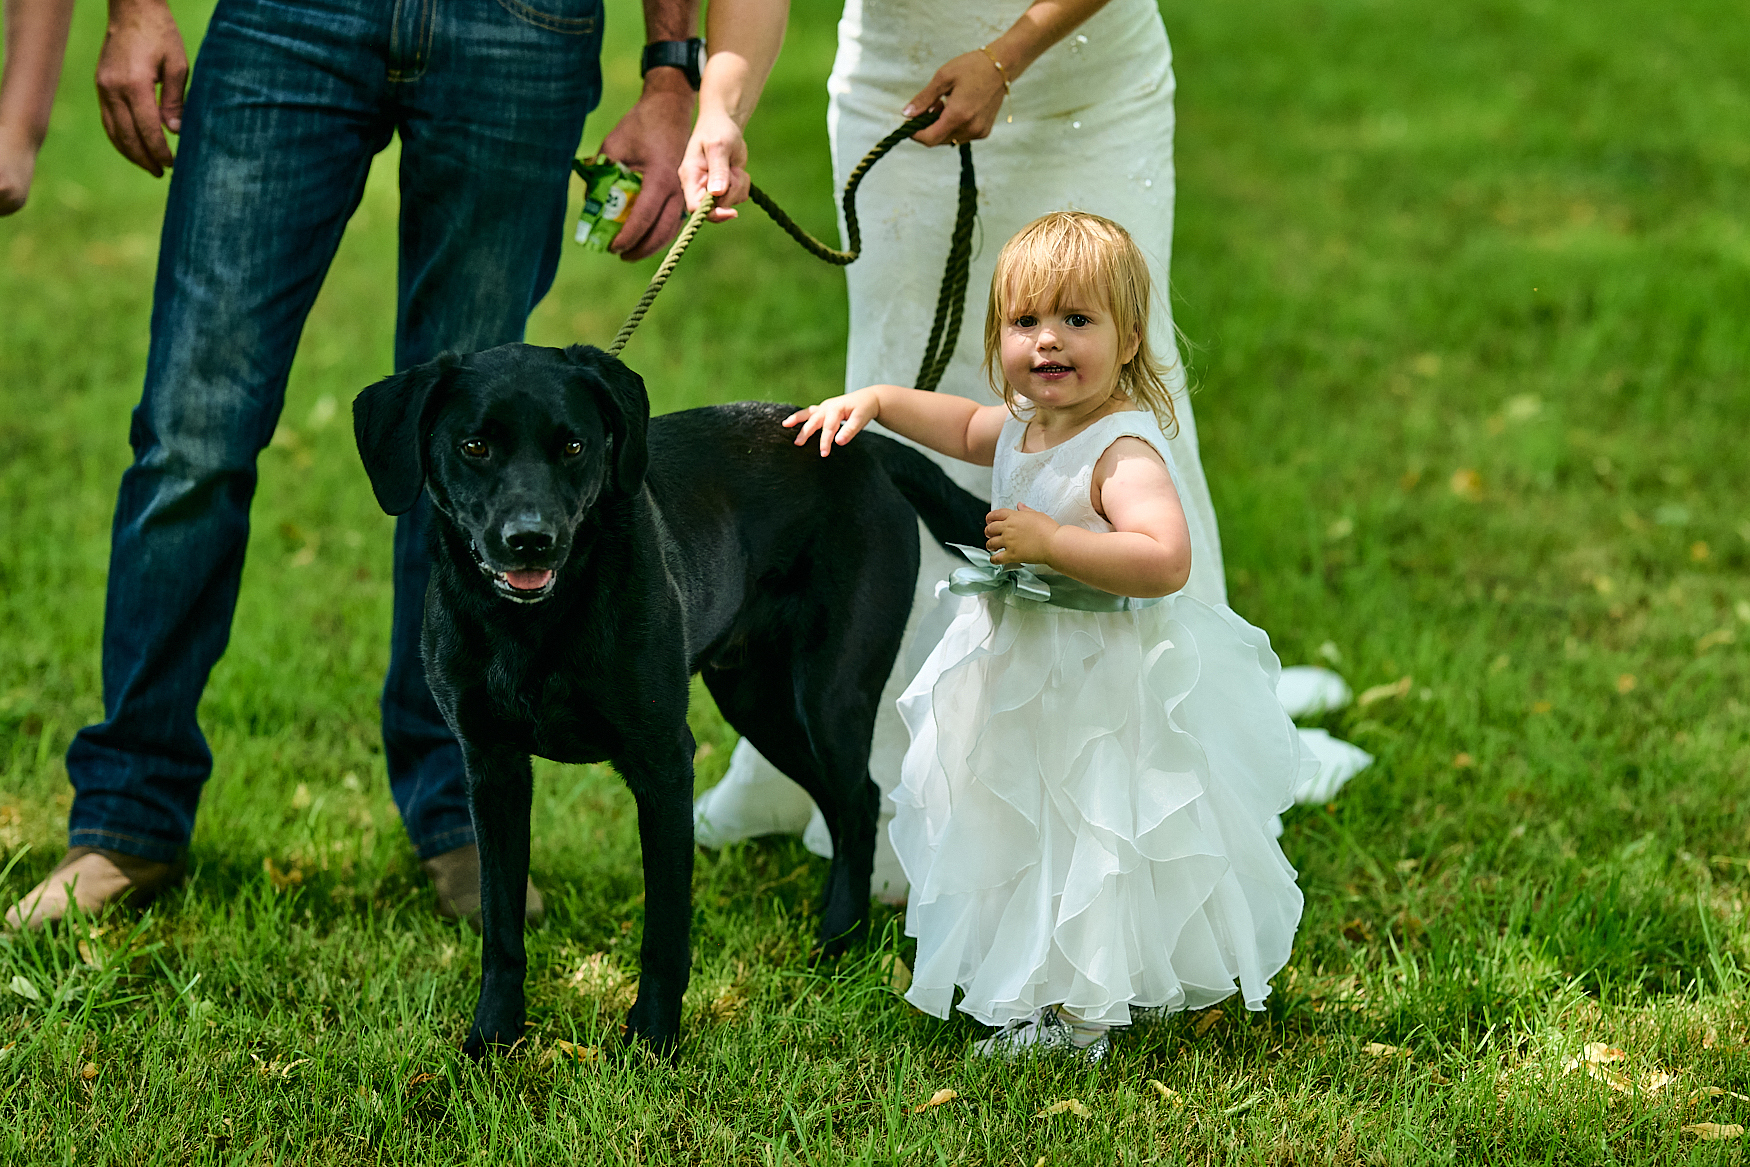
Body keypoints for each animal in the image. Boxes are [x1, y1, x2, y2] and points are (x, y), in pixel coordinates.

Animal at [352, 342, 987, 1056]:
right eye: (474, 446)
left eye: (574, 445)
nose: (530, 539)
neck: (535, 628)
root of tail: (860, 439)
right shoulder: (491, 769)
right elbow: (500, 922)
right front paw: (492, 1037)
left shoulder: (663, 763)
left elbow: (664, 927)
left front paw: (653, 1039)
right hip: (758, 704)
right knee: (838, 800)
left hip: (829, 695)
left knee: (860, 801)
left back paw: (837, 938)